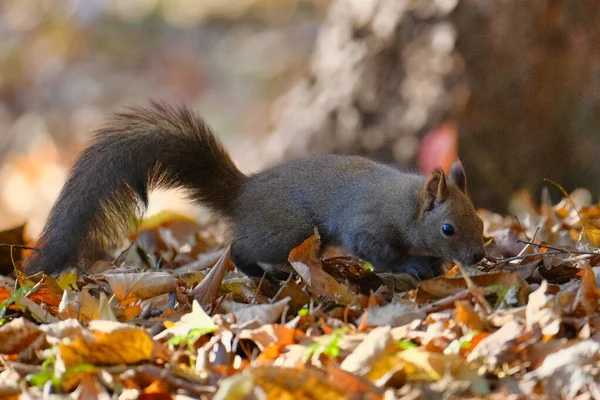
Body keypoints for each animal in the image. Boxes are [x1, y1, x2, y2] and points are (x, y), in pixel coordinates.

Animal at [29, 101, 488, 280]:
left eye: (481, 222)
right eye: (448, 228)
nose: (479, 256)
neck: (406, 203)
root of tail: (242, 192)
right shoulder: (369, 225)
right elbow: (379, 252)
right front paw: (417, 265)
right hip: (289, 229)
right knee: (241, 249)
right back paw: (266, 270)